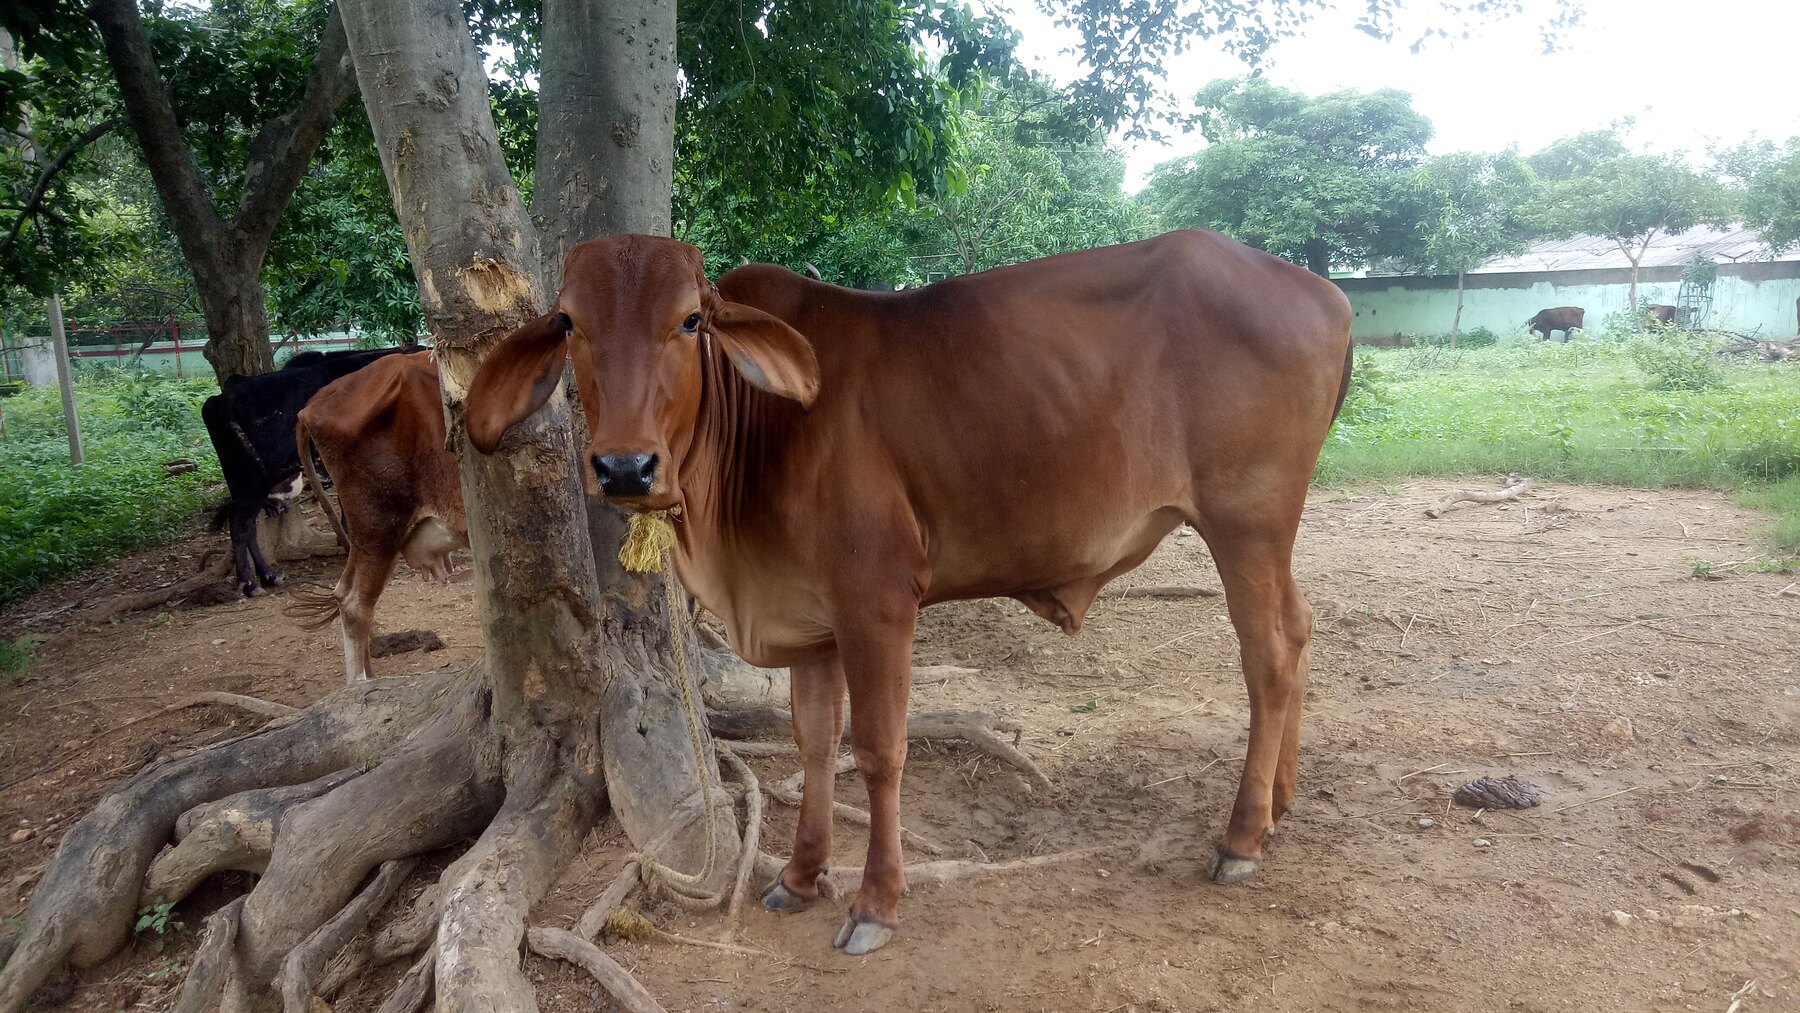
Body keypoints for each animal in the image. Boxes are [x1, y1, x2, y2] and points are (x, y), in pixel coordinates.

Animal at [202, 345, 418, 597]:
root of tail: (221, 398)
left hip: (242, 482)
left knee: (249, 527)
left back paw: (267, 576)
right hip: (254, 481)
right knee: (240, 525)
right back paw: (251, 583)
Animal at [287, 350, 467, 684]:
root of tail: (312, 405)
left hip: (374, 534)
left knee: (343, 593)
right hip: (378, 525)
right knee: (355, 605)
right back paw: (360, 685)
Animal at [464, 231, 1354, 956]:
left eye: (689, 321)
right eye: (570, 323)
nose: (624, 467)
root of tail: (1325, 292)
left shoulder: (878, 598)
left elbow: (879, 749)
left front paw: (874, 902)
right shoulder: (810, 618)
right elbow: (814, 741)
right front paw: (801, 872)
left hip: (1246, 521)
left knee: (1270, 655)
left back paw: (1242, 836)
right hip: (1267, 534)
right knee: (1302, 629)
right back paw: (1280, 803)